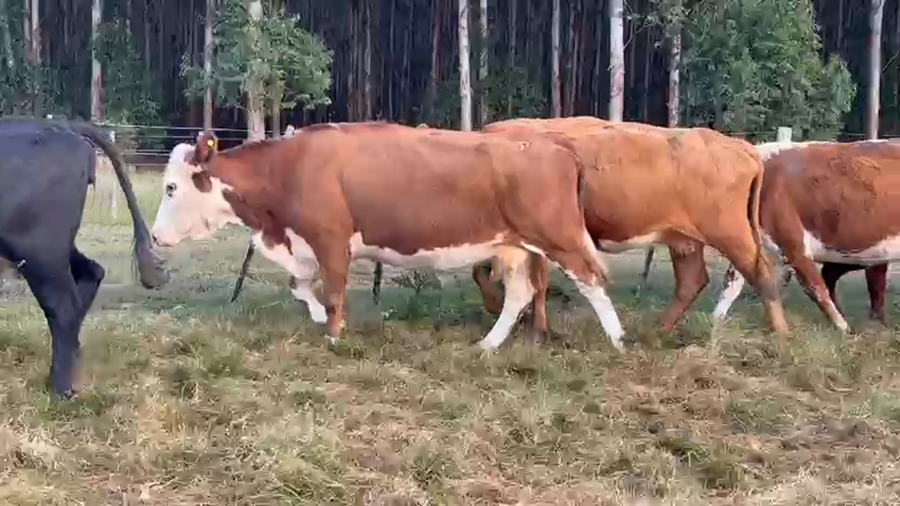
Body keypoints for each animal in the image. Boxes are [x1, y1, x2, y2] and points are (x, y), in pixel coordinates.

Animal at [150, 122, 627, 351]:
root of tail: (556, 146)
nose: (154, 236)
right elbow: (299, 285)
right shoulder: (304, 244)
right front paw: (319, 318)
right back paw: (489, 343)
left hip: (559, 238)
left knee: (592, 281)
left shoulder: (330, 239)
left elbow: (334, 291)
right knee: (521, 294)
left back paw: (618, 340)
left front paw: (333, 334)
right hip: (512, 247)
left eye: (171, 187)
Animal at [468, 117, 789, 339]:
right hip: (684, 240)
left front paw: (531, 326)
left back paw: (781, 332)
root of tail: (741, 146)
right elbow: (493, 275)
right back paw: (659, 330)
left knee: (760, 271)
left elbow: (531, 282)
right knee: (691, 280)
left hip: (729, 233)